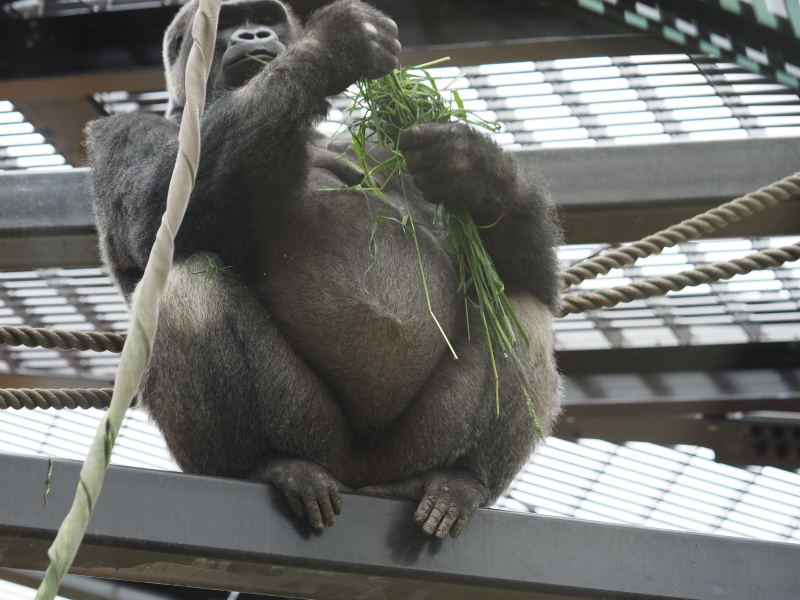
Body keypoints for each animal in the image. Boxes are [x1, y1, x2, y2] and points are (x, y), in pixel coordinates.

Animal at [86, 0, 564, 540]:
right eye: (228, 22)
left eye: (266, 16)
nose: (255, 34)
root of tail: (359, 477)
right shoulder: (124, 132)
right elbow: (158, 222)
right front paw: (334, 45)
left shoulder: (383, 149)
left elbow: (529, 278)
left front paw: (473, 168)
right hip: (312, 434)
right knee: (189, 282)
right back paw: (265, 464)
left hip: (411, 450)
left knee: (520, 306)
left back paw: (459, 477)